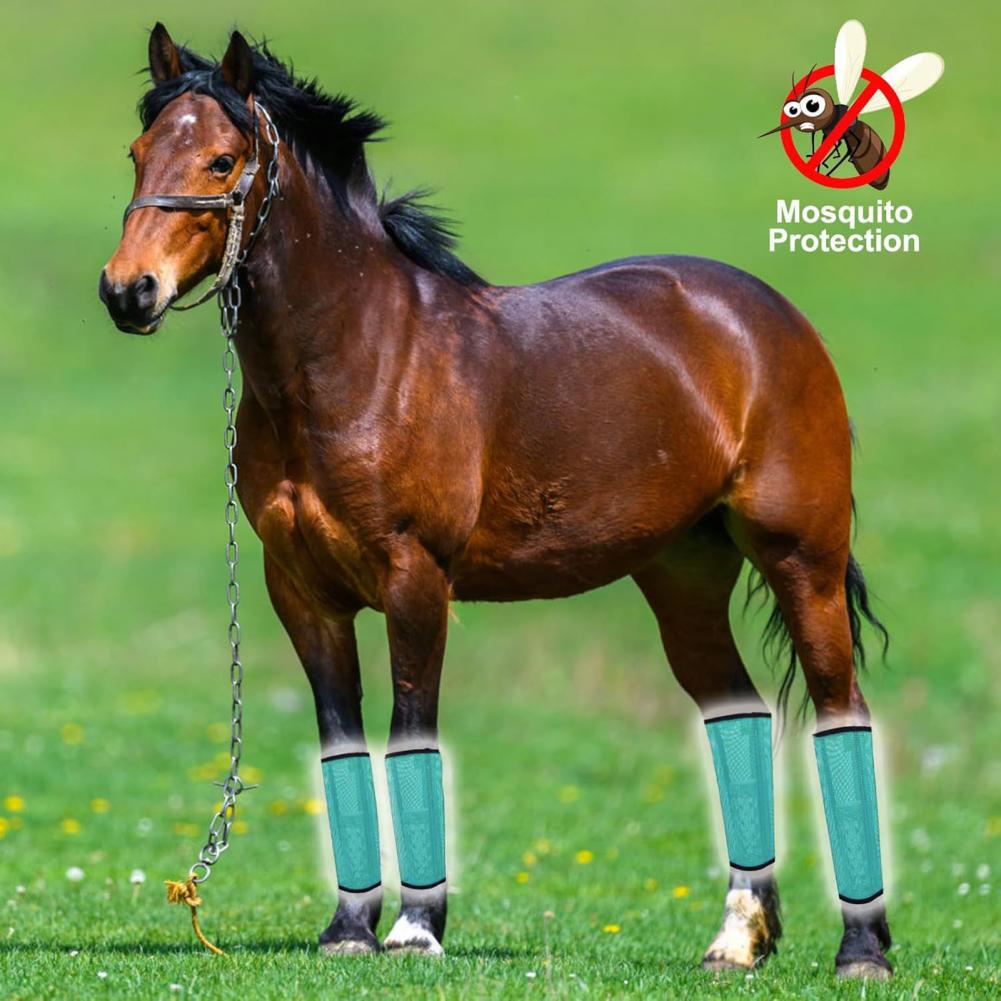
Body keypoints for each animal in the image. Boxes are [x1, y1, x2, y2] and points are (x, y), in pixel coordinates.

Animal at [100, 25, 894, 979]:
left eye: (222, 160)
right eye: (138, 151)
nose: (127, 290)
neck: (360, 357)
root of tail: (766, 315)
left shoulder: (415, 579)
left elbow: (411, 731)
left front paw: (414, 927)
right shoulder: (301, 592)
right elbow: (340, 742)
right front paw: (347, 927)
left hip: (800, 559)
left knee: (840, 711)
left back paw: (861, 946)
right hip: (682, 575)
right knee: (736, 713)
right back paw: (737, 937)